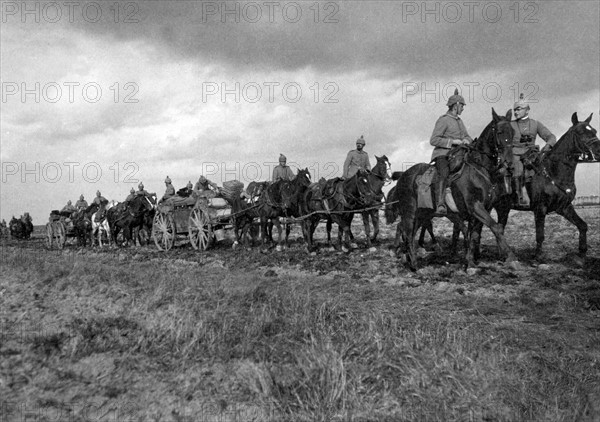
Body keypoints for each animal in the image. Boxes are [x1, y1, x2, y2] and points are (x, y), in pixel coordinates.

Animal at [396, 109, 516, 270]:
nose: (509, 164)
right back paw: (414, 265)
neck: (479, 169)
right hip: (410, 212)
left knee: (412, 232)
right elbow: (495, 227)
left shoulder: (483, 209)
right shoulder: (475, 207)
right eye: (500, 132)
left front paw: (470, 262)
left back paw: (409, 259)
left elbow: (474, 235)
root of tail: (403, 176)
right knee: (408, 233)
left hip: (422, 214)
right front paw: (510, 256)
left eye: (513, 132)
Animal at [492, 113, 600, 262]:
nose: (599, 151)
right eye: (580, 132)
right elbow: (540, 235)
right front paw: (537, 257)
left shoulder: (564, 207)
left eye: (594, 131)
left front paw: (582, 253)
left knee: (499, 229)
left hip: (503, 209)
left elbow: (583, 225)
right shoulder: (540, 209)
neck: (553, 172)